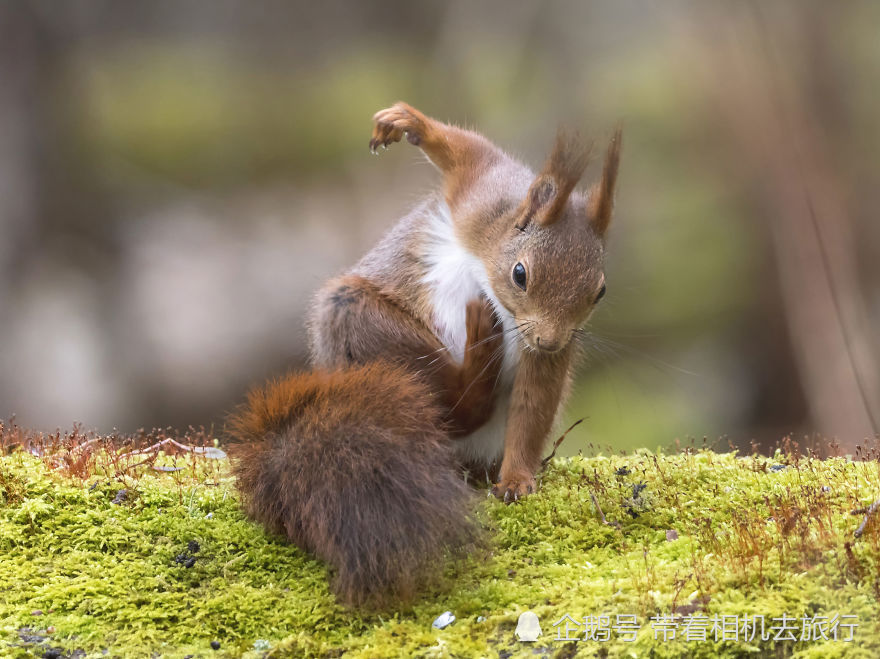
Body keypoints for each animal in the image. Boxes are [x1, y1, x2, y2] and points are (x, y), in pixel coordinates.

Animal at [230, 104, 624, 608]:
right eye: (520, 274)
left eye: (600, 291)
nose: (551, 341)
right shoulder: (481, 195)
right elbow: (466, 151)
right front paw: (406, 123)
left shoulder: (544, 353)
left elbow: (533, 407)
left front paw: (516, 480)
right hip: (360, 321)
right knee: (453, 405)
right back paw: (477, 352)